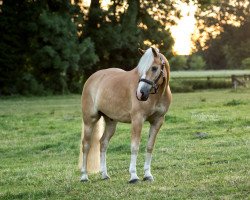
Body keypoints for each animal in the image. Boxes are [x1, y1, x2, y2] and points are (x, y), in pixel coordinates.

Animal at [79, 46, 171, 183]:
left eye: (154, 68)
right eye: (140, 69)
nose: (141, 93)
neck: (157, 96)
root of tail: (92, 78)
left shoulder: (158, 121)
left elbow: (149, 147)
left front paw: (148, 175)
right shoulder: (137, 120)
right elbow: (134, 147)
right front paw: (133, 176)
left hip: (111, 121)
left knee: (103, 143)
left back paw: (104, 175)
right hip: (89, 120)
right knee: (86, 145)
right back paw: (84, 176)